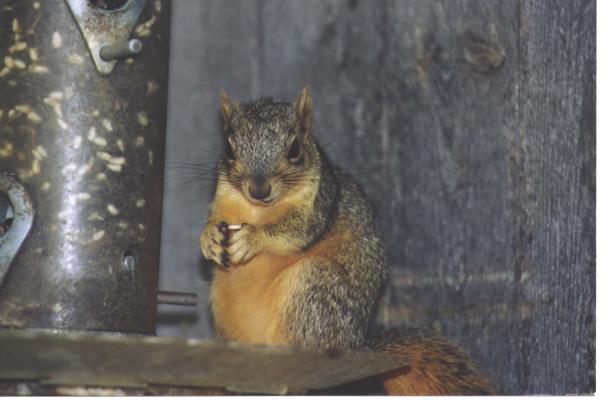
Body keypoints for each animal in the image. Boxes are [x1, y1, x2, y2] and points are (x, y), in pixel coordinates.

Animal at [200, 86, 494, 394]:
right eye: (230, 149)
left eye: (294, 149)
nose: (259, 189)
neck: (259, 209)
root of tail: (356, 344)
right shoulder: (223, 198)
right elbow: (214, 218)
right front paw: (208, 237)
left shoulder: (321, 203)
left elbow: (294, 232)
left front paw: (251, 238)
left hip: (315, 289)